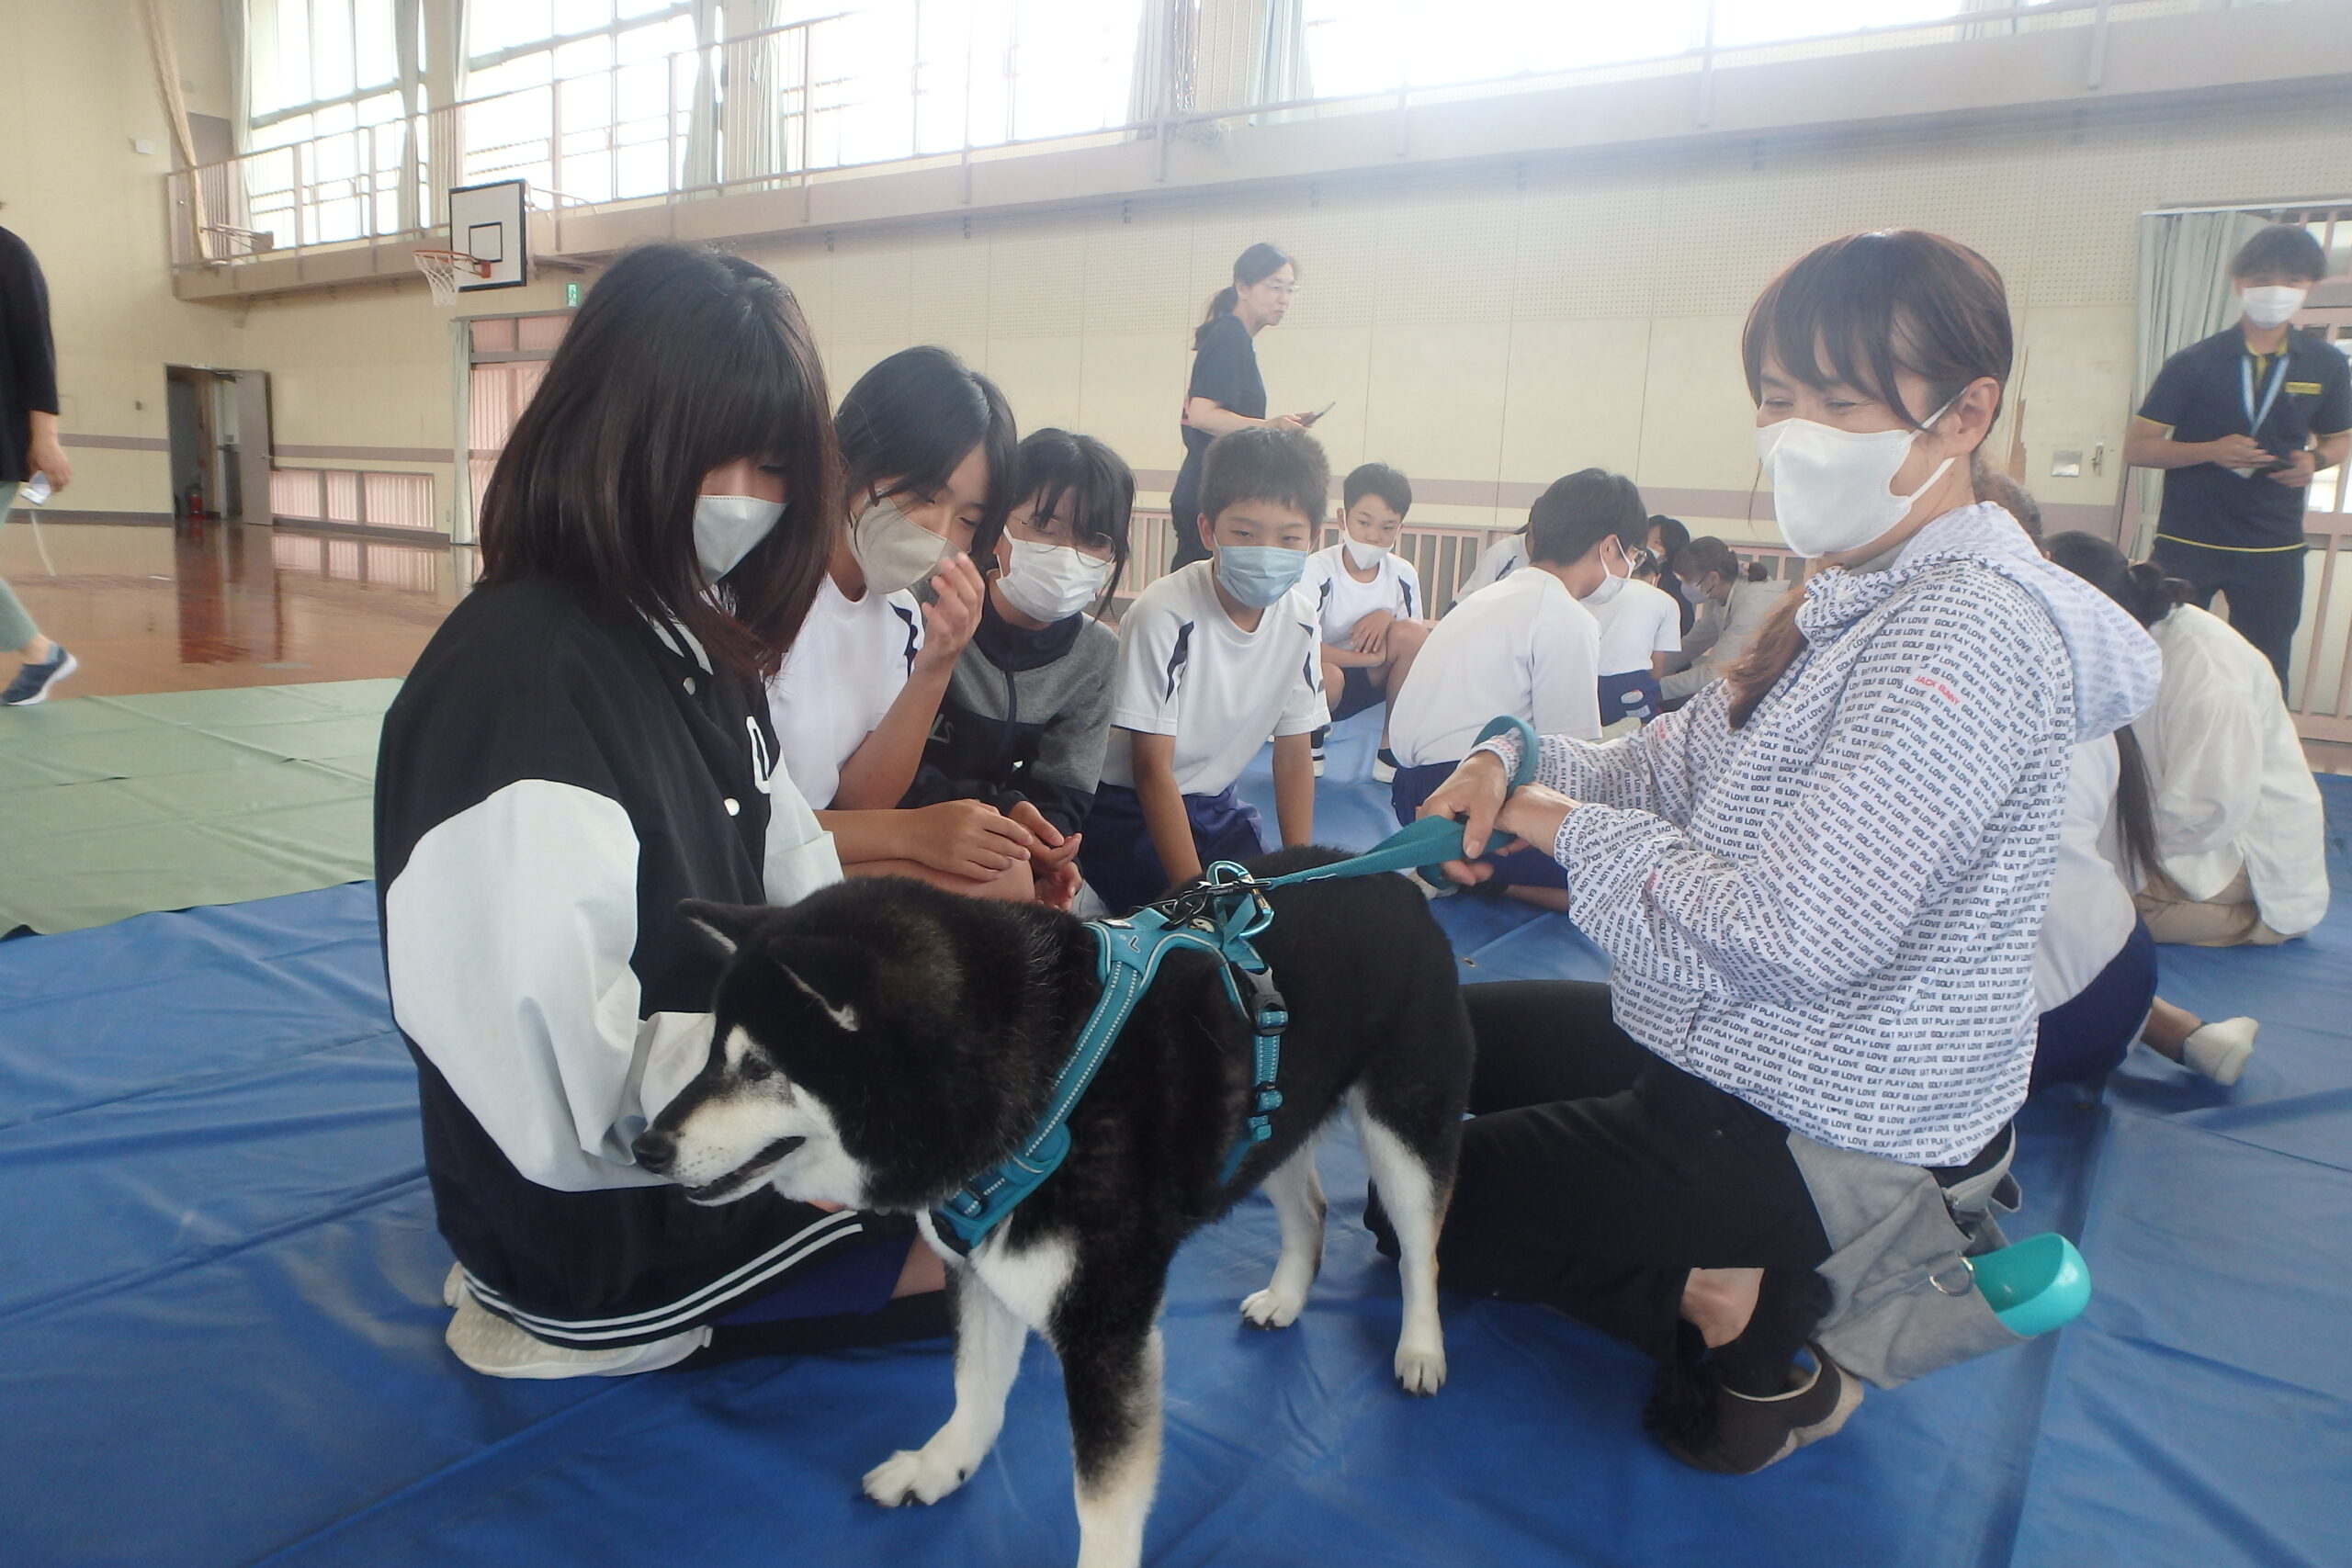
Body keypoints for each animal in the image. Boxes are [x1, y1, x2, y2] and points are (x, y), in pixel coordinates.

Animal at [634, 847, 1475, 1568]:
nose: (647, 1146)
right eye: (710, 1053)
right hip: (1273, 1120)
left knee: (1420, 1248)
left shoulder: (1104, 1324)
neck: (1045, 1083)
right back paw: (1290, 1295)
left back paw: (1421, 1347)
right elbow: (973, 1386)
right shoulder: (981, 1266)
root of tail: (1392, 876)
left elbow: (1102, 1499)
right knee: (1310, 1206)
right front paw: (941, 1465)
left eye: (758, 1067)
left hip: (1402, 1127)